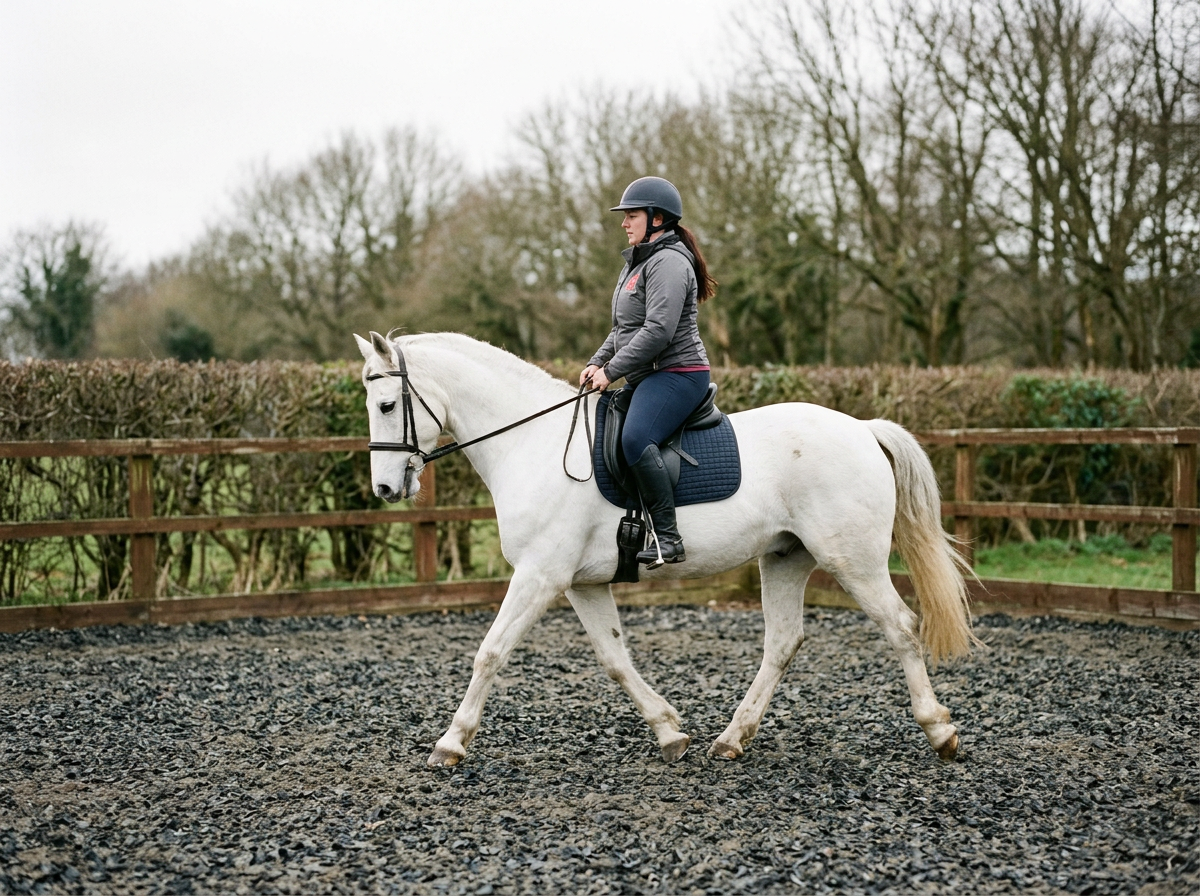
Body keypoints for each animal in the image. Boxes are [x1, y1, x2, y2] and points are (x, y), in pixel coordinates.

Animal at [355, 331, 976, 767]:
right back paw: (731, 739)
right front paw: (670, 731)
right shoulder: (580, 583)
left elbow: (490, 652)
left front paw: (450, 743)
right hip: (785, 557)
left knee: (901, 626)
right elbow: (614, 658)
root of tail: (862, 428)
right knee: (782, 642)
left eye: (385, 405)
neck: (531, 443)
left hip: (854, 560)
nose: (384, 489)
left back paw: (940, 730)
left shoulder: (539, 575)